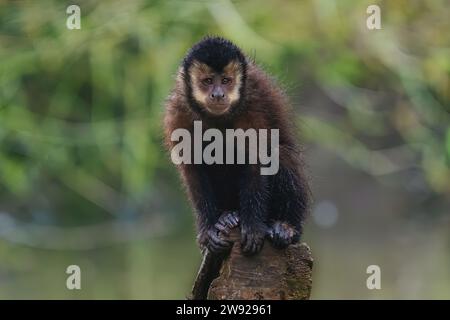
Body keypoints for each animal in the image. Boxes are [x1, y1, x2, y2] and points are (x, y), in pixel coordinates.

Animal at [163, 35, 312, 255]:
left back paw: (287, 226)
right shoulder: (178, 111)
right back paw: (227, 216)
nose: (218, 94)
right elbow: (192, 166)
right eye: (208, 81)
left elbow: (255, 159)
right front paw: (208, 230)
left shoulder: (253, 105)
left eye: (226, 81)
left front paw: (253, 227)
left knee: (280, 153)